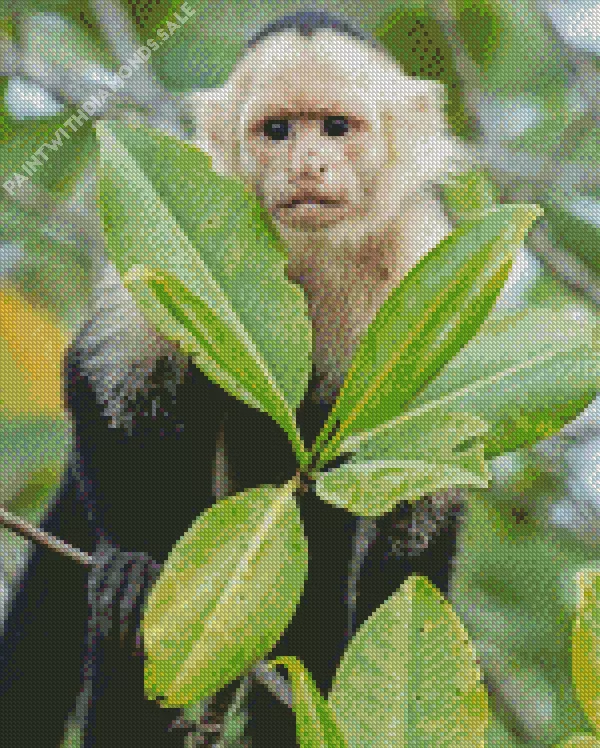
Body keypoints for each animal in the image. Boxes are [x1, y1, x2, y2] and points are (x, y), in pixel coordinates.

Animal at [0, 11, 460, 747]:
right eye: (277, 130)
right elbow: (113, 377)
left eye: (336, 127)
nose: (306, 164)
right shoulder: (181, 211)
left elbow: (422, 489)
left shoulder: (423, 253)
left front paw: (401, 645)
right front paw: (137, 565)